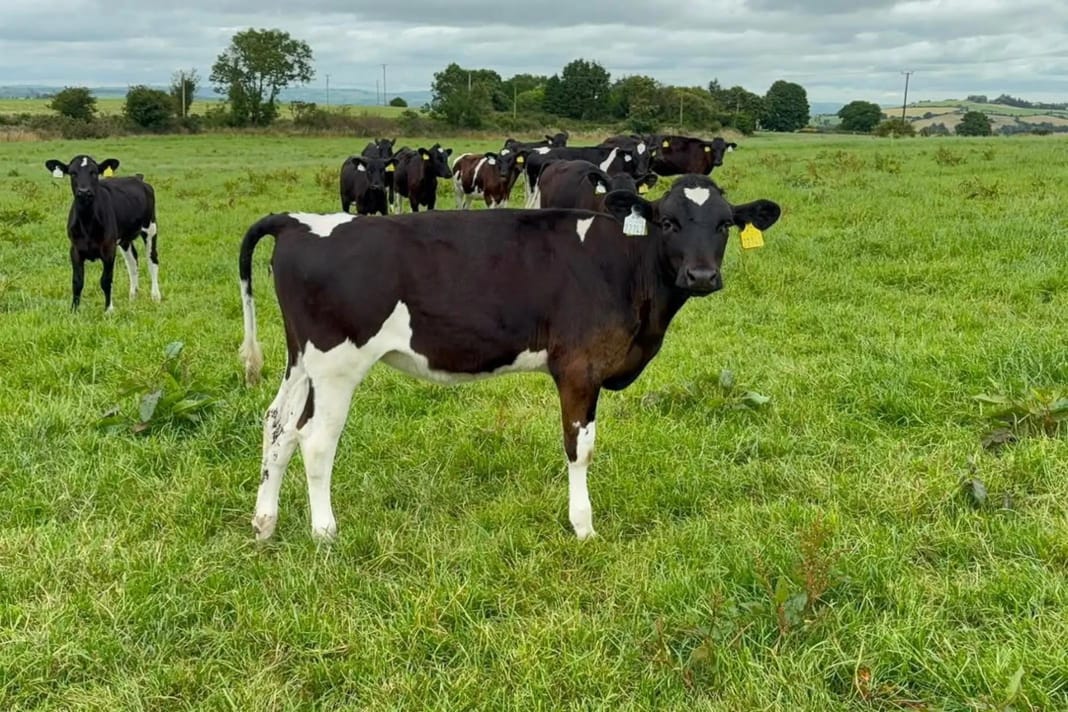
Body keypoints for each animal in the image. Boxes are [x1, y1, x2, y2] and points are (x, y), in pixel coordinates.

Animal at [44, 155, 160, 311]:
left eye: (94, 172)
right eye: (73, 173)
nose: (84, 191)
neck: (87, 223)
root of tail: (138, 178)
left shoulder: (109, 249)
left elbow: (106, 280)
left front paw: (109, 309)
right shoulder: (75, 249)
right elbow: (77, 281)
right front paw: (74, 310)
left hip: (150, 227)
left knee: (152, 259)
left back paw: (155, 296)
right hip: (124, 239)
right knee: (132, 261)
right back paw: (133, 296)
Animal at [236, 174, 782, 542]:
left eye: (725, 224)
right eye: (668, 222)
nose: (701, 275)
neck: (624, 266)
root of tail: (299, 222)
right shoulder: (579, 367)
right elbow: (580, 449)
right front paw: (583, 527)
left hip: (302, 361)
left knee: (278, 426)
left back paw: (265, 523)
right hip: (338, 365)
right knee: (315, 440)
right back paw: (324, 532)